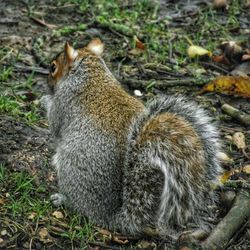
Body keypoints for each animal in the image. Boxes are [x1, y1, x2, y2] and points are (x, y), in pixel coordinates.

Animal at [40, 38, 222, 237]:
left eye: (53, 67)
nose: (47, 82)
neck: (90, 73)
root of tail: (110, 217)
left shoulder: (63, 102)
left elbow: (54, 123)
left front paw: (44, 100)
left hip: (69, 169)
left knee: (80, 209)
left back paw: (62, 199)